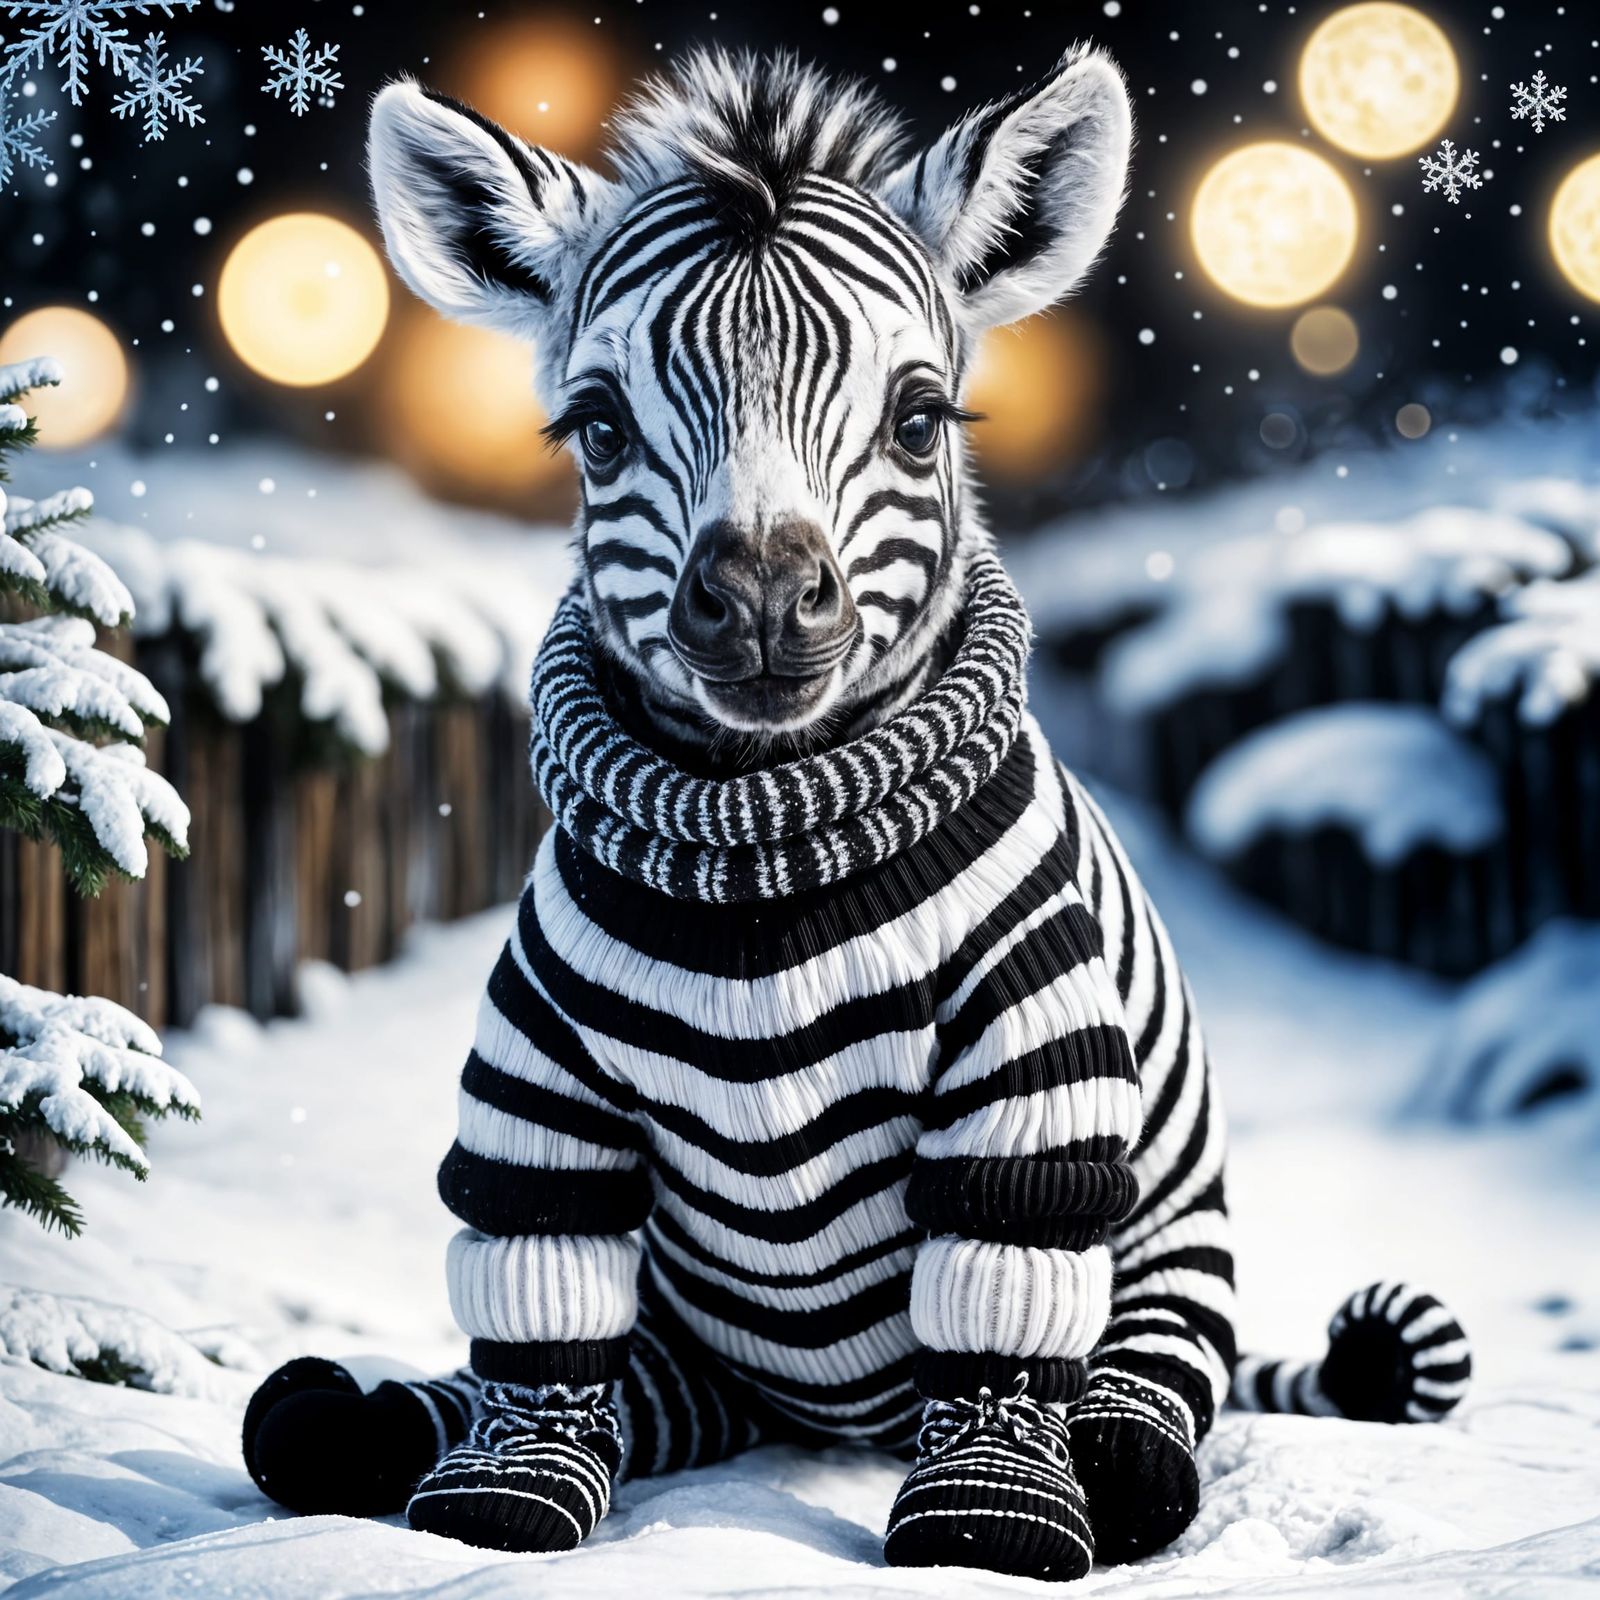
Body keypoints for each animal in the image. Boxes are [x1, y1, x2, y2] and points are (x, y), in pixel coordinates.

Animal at [241, 45, 1470, 1580]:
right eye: (599, 428)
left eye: (919, 417)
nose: (763, 599)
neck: (765, 841)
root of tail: (827, 1419)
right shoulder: (547, 1086)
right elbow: (540, 1309)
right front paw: (493, 1513)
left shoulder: (1024, 1076)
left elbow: (1000, 1310)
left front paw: (985, 1529)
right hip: (694, 1341)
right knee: (606, 1386)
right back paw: (356, 1418)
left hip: (1169, 1265)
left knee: (1140, 1404)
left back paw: (1115, 1455)